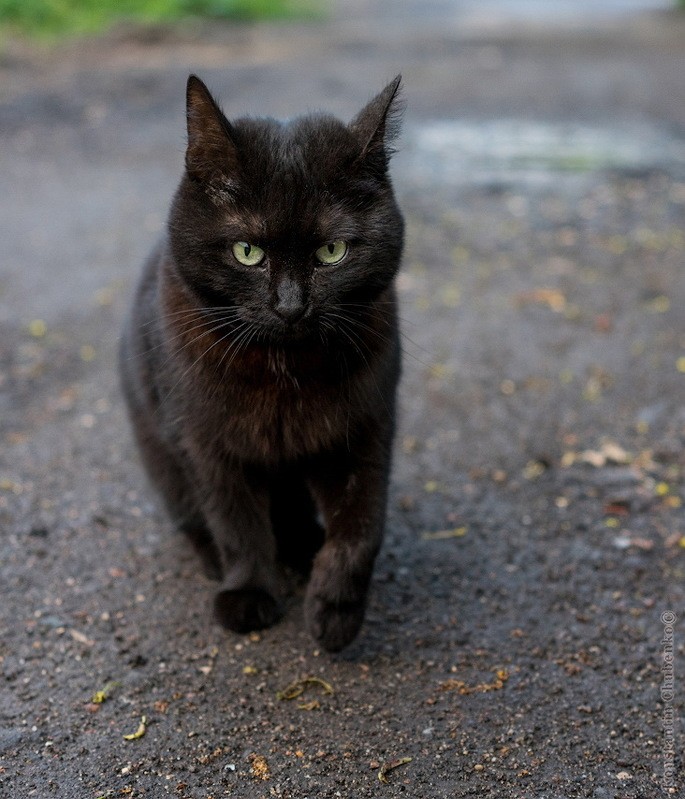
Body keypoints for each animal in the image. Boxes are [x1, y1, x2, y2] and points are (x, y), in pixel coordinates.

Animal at [120, 73, 404, 648]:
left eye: (332, 252)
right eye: (247, 252)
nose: (291, 306)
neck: (284, 373)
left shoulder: (366, 430)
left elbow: (363, 527)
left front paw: (336, 612)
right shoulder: (207, 444)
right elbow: (236, 524)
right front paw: (248, 594)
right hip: (159, 451)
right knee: (194, 517)